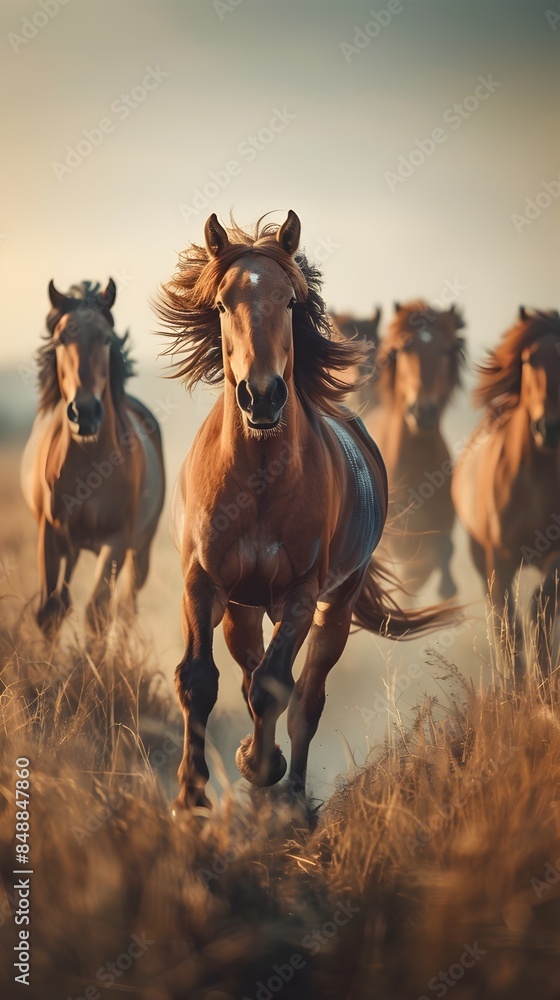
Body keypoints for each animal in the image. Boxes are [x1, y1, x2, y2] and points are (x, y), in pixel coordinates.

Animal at [21, 279, 165, 637]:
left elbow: (97, 613)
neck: (90, 464)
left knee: (125, 610)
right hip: (71, 546)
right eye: (60, 338)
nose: (84, 412)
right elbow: (49, 611)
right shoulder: (50, 533)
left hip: (140, 551)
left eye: (106, 338)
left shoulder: (116, 540)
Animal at [452, 307, 560, 678]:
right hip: (478, 554)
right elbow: (509, 628)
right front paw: (516, 685)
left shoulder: (555, 556)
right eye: (529, 360)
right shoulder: (499, 559)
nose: (549, 428)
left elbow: (541, 610)